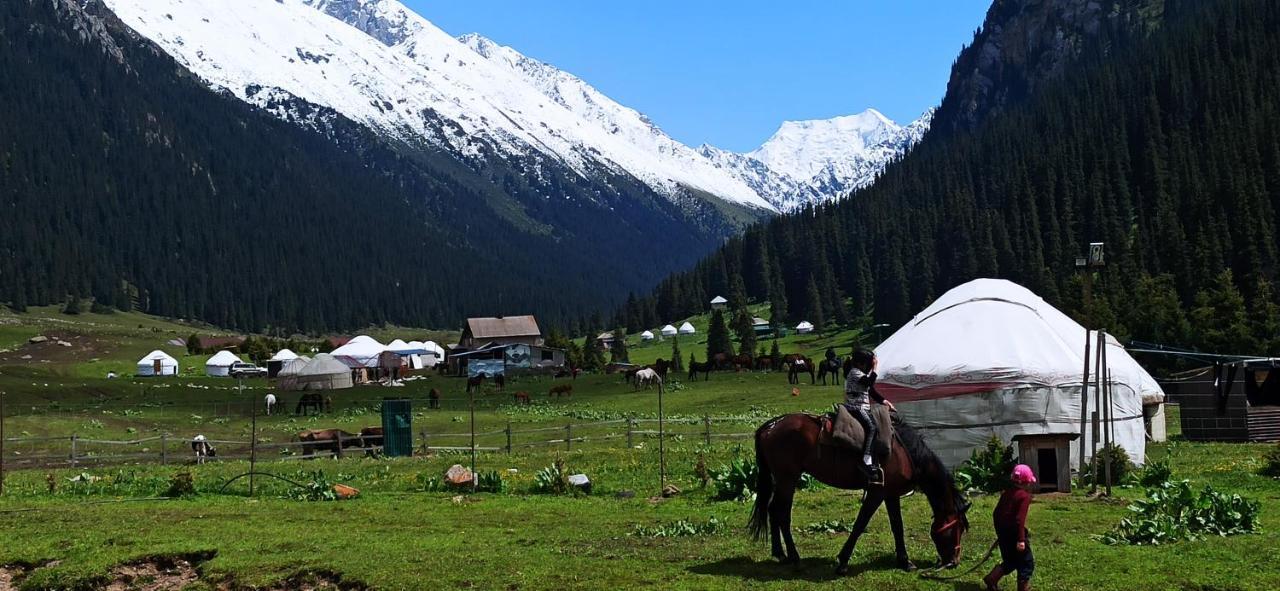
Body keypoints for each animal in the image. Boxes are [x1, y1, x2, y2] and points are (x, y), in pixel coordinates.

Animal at [747, 414, 967, 575]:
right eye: (957, 528)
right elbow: (861, 524)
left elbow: (897, 526)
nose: (954, 562)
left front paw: (905, 561)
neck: (904, 452)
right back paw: (794, 557)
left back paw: (780, 554)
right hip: (787, 479)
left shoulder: (891, 494)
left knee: (773, 510)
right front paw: (843, 561)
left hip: (781, 480)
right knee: (782, 514)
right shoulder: (877, 492)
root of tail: (771, 426)